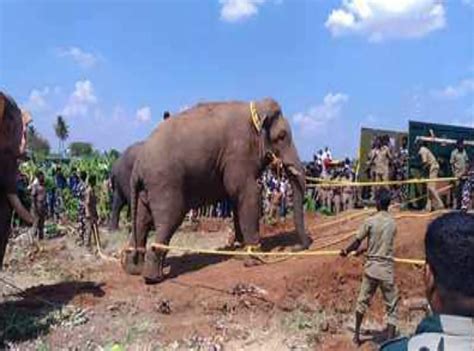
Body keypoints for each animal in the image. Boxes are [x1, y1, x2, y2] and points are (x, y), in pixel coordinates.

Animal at [123, 97, 312, 284]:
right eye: (282, 136)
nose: (295, 248)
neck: (255, 109)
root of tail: (138, 166)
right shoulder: (238, 152)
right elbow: (249, 193)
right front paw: (254, 260)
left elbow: (238, 199)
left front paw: (239, 250)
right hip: (164, 183)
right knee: (168, 219)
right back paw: (153, 277)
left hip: (146, 190)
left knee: (142, 221)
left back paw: (134, 269)